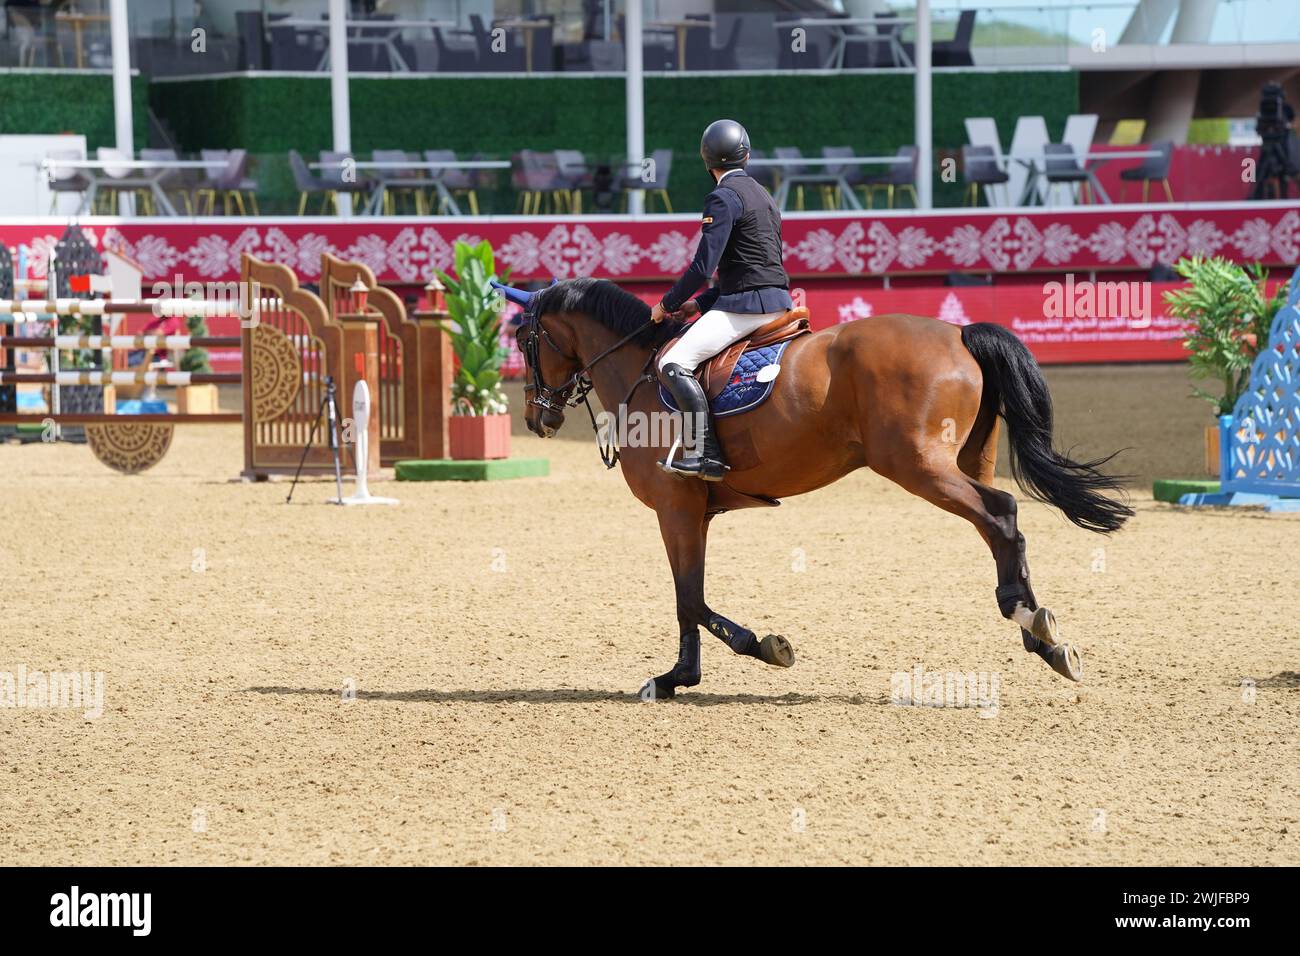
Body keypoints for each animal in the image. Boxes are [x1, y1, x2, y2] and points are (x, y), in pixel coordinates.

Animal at [501, 280, 1133, 697]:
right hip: (966, 461)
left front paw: (738, 655)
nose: (536, 419)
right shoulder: (695, 511)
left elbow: (688, 597)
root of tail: (959, 334)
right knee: (996, 527)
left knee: (999, 513)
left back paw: (1028, 619)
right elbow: (691, 595)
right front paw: (685, 675)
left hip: (918, 466)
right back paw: (1043, 637)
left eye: (524, 339)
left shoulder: (675, 506)